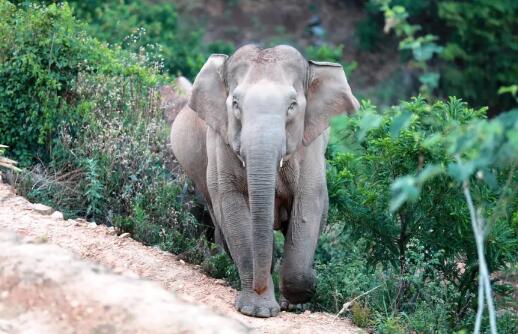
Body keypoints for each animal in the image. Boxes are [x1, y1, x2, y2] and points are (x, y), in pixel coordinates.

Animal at [169, 45, 360, 318]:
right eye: (235, 104)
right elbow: (232, 206)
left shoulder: (309, 148)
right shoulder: (221, 143)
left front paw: (302, 294)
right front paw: (257, 311)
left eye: (292, 105)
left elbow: (307, 203)